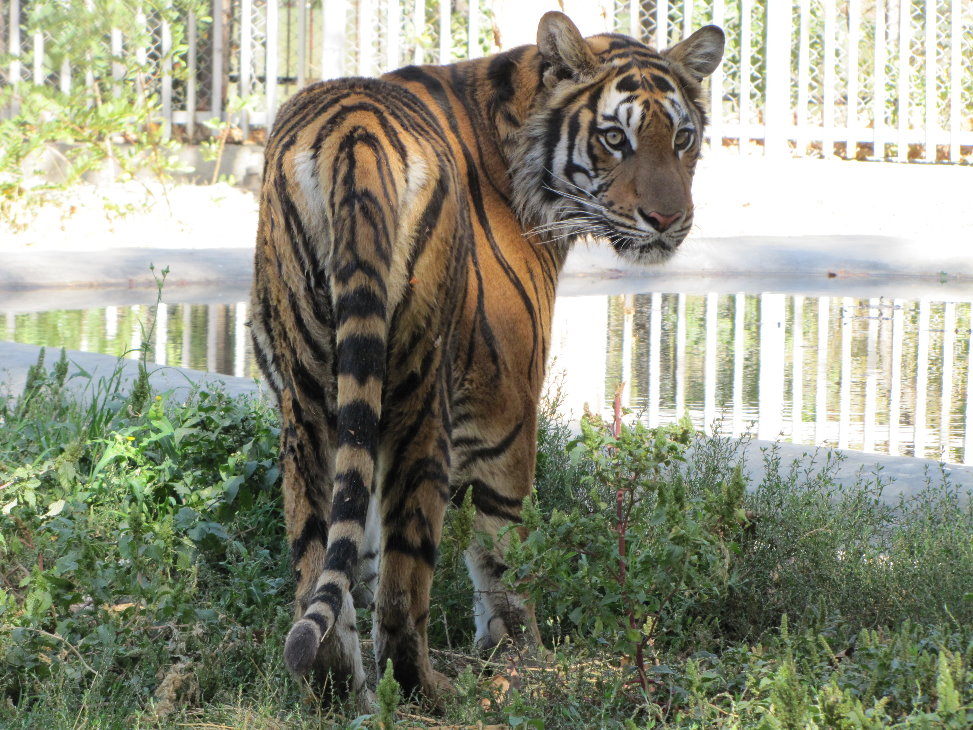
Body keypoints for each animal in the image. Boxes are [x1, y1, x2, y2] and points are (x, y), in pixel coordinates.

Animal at [250, 10, 724, 703]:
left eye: (683, 138)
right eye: (615, 138)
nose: (669, 221)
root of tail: (356, 136)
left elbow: (359, 546)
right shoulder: (509, 407)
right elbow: (504, 550)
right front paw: (523, 661)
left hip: (311, 401)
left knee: (318, 565)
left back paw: (337, 689)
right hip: (422, 403)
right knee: (404, 591)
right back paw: (431, 690)